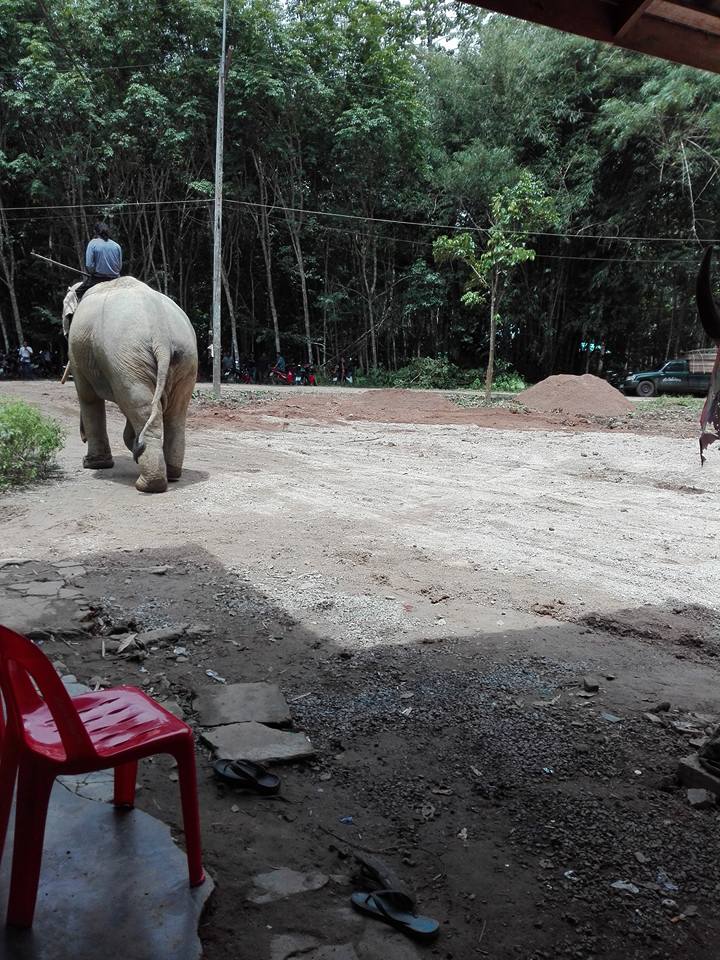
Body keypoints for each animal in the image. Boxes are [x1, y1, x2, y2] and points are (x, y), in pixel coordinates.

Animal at [68, 276, 197, 492]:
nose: (82, 437)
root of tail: (161, 335)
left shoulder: (76, 353)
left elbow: (87, 397)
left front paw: (93, 464)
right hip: (186, 358)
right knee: (174, 412)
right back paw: (171, 474)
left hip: (127, 355)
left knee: (137, 404)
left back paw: (147, 484)